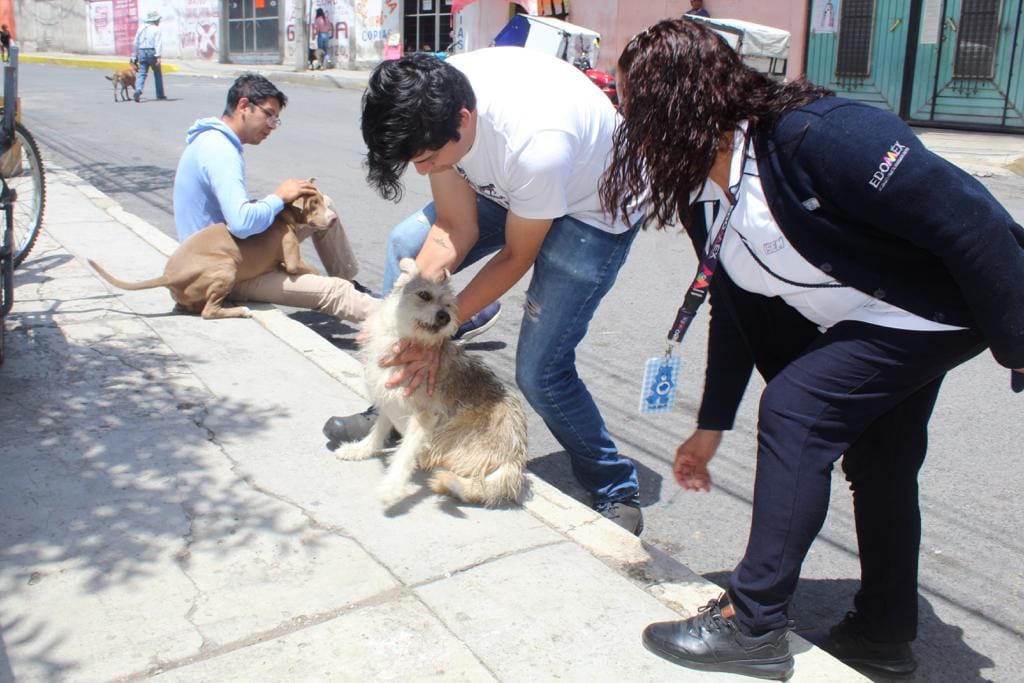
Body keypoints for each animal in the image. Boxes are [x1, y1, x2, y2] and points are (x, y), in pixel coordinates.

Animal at [90, 181, 327, 321]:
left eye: (322, 200)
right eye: (314, 203)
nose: (331, 219)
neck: (282, 214)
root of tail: (170, 276)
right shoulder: (292, 258)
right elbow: (310, 269)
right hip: (226, 268)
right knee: (208, 312)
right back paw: (241, 311)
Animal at [335, 255, 528, 507]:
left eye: (449, 306)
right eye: (424, 295)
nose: (445, 317)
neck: (405, 340)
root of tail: (514, 460)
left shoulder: (425, 416)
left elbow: (405, 453)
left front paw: (392, 487)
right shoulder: (389, 398)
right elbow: (378, 430)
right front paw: (361, 450)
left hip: (450, 431)